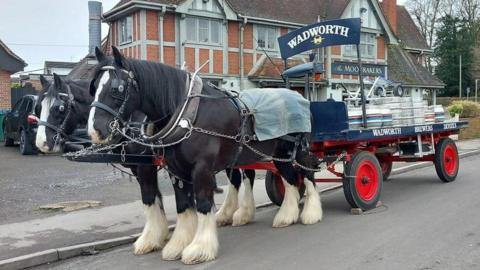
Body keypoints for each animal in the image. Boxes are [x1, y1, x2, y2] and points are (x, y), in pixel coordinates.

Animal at [88, 46, 324, 264]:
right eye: (94, 87)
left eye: (117, 89)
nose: (95, 131)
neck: (188, 114)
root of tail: (300, 96)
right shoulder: (175, 169)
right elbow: (182, 204)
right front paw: (177, 245)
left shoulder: (200, 168)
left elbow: (202, 203)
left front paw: (200, 248)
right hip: (280, 153)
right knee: (290, 179)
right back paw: (287, 216)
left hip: (300, 149)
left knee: (308, 175)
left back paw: (311, 213)